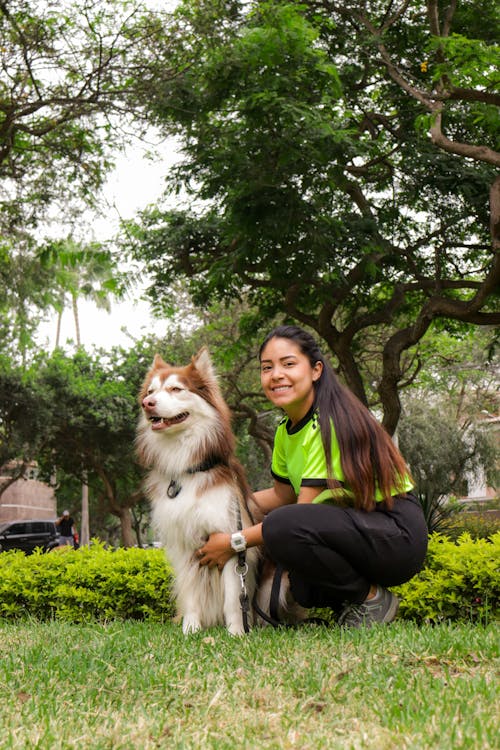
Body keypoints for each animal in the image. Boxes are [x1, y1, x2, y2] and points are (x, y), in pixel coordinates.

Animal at [137, 350, 262, 636]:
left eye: (175, 389)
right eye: (150, 391)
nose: (147, 403)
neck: (188, 469)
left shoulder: (227, 541)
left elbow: (233, 598)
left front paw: (236, 632)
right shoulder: (184, 544)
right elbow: (191, 593)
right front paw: (190, 629)